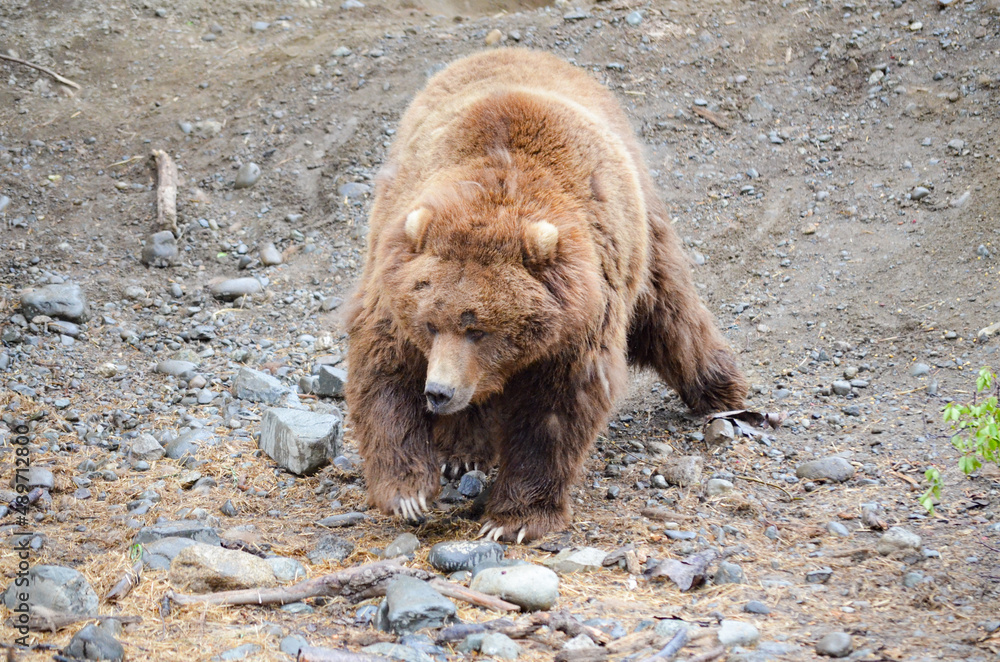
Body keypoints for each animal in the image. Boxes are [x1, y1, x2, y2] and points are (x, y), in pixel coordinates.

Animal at [345, 49, 747, 543]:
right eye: (430, 323)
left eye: (478, 328)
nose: (438, 391)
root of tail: (520, 50)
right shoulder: (395, 278)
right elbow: (385, 371)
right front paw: (410, 493)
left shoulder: (579, 319)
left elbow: (555, 411)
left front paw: (514, 519)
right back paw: (463, 451)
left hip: (643, 231)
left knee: (669, 304)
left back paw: (720, 389)